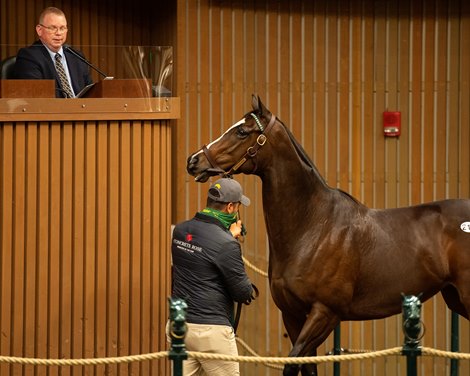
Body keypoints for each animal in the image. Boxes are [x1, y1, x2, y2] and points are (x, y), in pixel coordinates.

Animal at [185, 94, 468, 376]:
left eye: (242, 131)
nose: (193, 161)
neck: (312, 228)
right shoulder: (292, 314)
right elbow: (306, 366)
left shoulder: (325, 313)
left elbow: (292, 364)